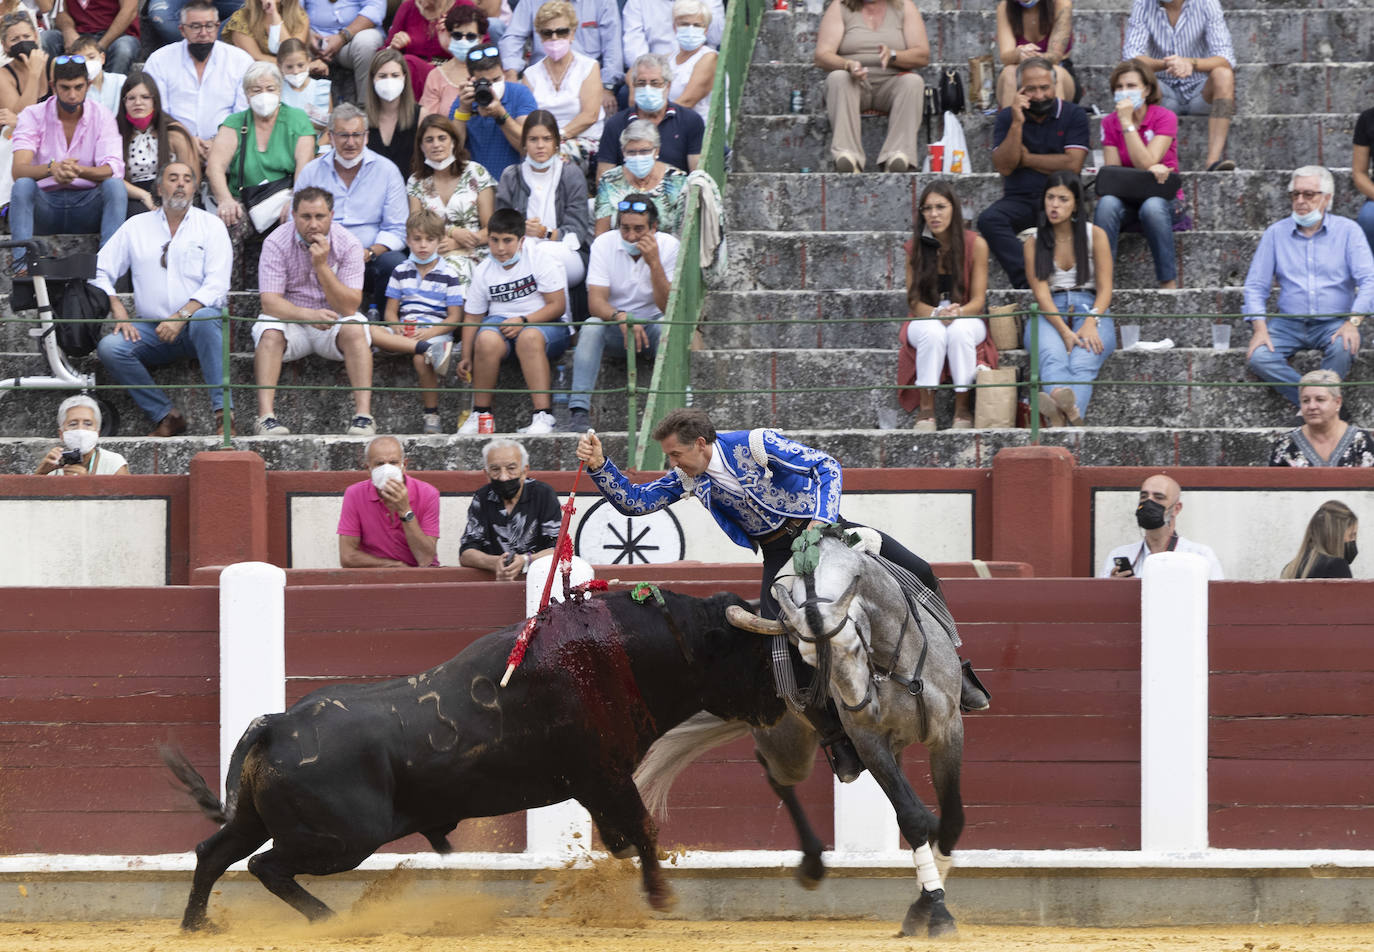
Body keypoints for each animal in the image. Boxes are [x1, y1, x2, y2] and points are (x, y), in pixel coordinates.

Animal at [160, 587, 785, 928]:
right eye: (754, 652)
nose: (782, 704)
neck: (621, 651)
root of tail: (277, 723)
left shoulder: (598, 783)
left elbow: (624, 838)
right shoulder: (605, 775)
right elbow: (643, 830)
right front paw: (661, 898)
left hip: (258, 819)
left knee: (214, 853)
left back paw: (199, 927)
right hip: (343, 839)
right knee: (264, 866)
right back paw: (331, 920)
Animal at [634, 527, 967, 934]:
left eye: (854, 646)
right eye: (806, 660)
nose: (860, 708)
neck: (894, 663)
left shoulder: (949, 731)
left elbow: (951, 819)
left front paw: (928, 900)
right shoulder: (870, 743)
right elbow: (911, 816)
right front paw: (932, 908)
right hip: (789, 748)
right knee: (776, 775)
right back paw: (811, 863)